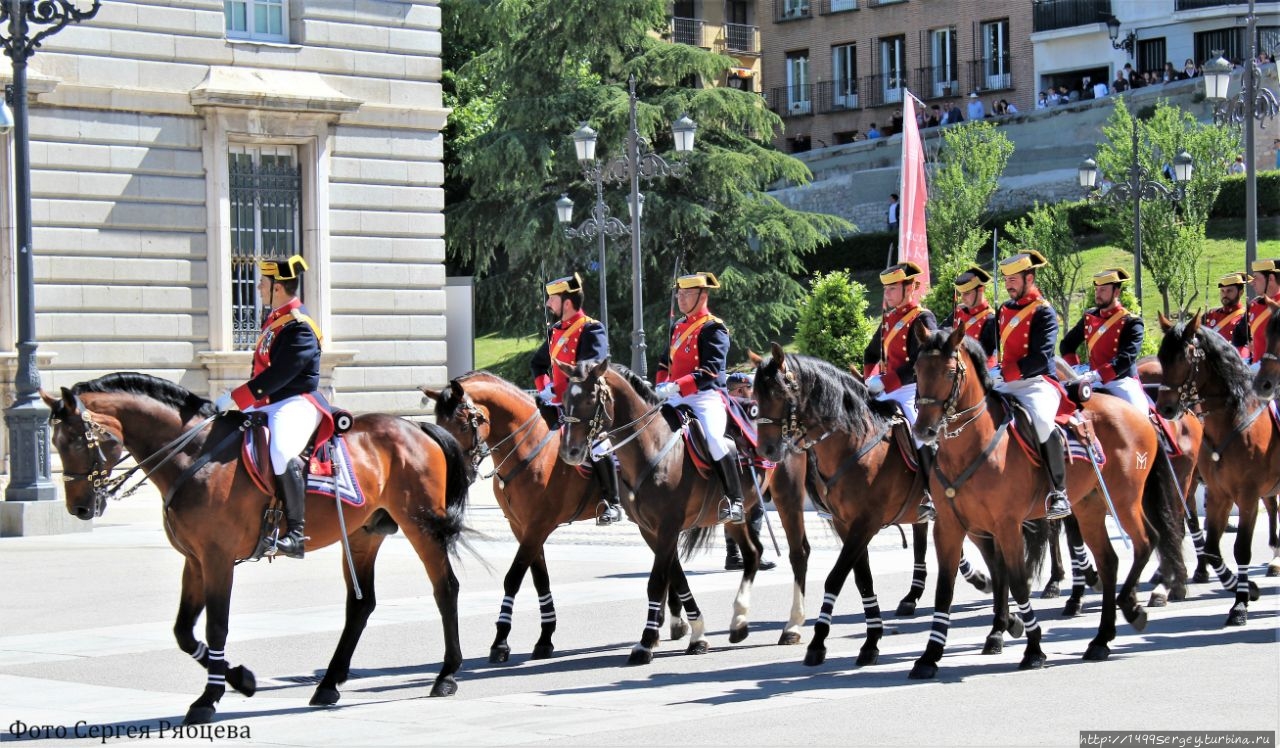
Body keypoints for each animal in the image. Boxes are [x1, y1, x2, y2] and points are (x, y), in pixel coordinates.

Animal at [38, 374, 471, 722]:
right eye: (55, 442)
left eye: (76, 439)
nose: (79, 508)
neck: (195, 455)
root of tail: (416, 427)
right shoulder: (194, 560)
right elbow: (183, 632)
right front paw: (241, 680)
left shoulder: (217, 559)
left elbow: (215, 626)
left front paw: (209, 698)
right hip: (364, 534)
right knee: (361, 606)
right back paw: (328, 684)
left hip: (421, 526)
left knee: (445, 588)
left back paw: (446, 674)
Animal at [555, 358, 762, 660]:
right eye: (565, 399)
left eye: (591, 399)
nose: (569, 452)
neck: (651, 447)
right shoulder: (651, 530)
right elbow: (676, 577)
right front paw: (696, 633)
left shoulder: (667, 526)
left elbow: (656, 581)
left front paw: (647, 641)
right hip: (734, 519)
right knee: (753, 554)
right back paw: (739, 622)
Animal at [911, 327, 1177, 676]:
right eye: (917, 370)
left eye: (949, 372)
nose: (924, 430)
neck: (972, 447)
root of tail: (1138, 413)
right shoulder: (949, 527)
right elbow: (945, 590)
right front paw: (929, 657)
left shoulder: (1007, 526)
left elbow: (1018, 582)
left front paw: (1034, 649)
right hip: (1090, 508)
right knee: (1109, 561)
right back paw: (1101, 639)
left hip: (1124, 500)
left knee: (1147, 541)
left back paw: (1130, 607)